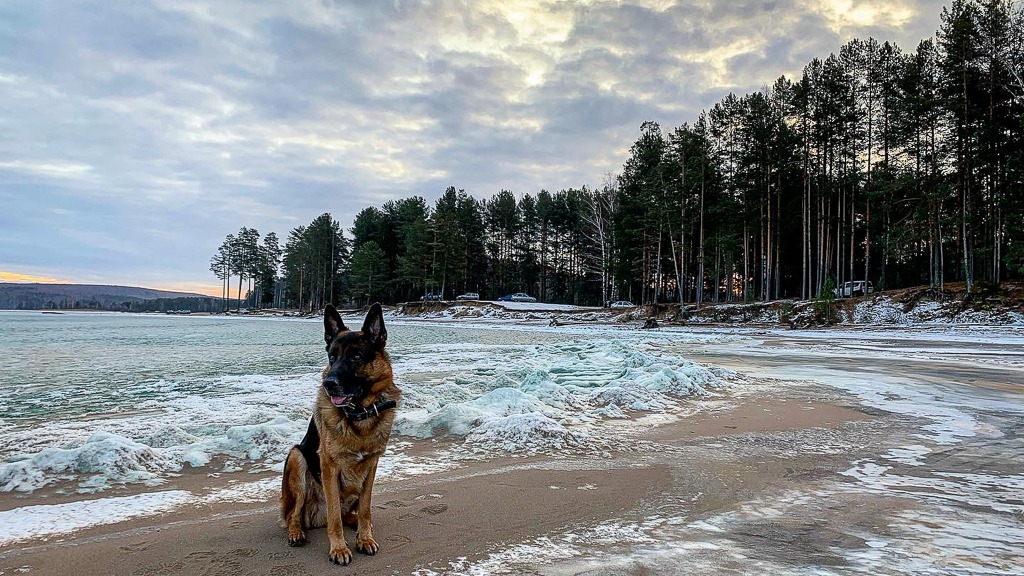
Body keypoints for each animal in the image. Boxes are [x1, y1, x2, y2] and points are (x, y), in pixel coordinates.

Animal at [280, 303, 399, 561]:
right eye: (332, 357)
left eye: (356, 356)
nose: (329, 384)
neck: (359, 415)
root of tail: (316, 518)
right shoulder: (329, 467)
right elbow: (334, 516)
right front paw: (339, 548)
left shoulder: (371, 466)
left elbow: (366, 509)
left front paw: (365, 538)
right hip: (297, 458)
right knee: (294, 515)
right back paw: (296, 532)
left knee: (350, 514)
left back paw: (357, 525)